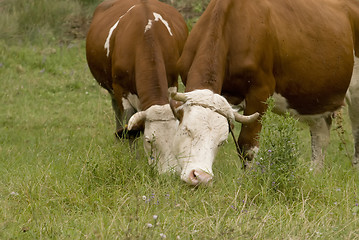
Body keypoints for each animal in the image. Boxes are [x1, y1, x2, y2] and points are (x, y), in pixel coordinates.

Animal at [86, 0, 188, 173]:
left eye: (176, 137)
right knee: (117, 113)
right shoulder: (121, 90)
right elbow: (130, 131)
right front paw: (134, 160)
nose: (170, 173)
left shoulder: (172, 84)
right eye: (149, 141)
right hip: (112, 90)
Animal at [170, 0, 359, 186]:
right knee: (320, 138)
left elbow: (247, 145)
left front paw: (249, 183)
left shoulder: (260, 92)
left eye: (221, 142)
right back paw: (314, 176)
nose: (201, 177)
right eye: (186, 130)